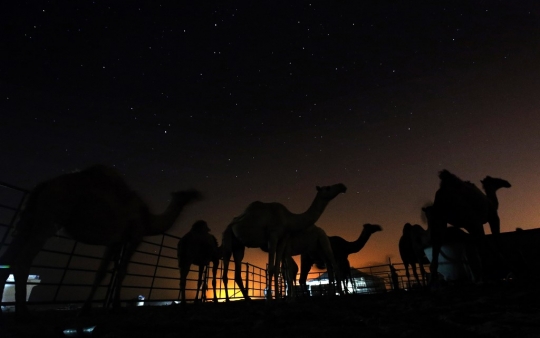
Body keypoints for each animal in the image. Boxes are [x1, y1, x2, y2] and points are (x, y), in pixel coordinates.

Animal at [0, 165, 201, 316]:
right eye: (186, 194)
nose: (198, 193)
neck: (149, 220)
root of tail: (44, 185)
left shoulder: (116, 241)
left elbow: (104, 271)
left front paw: (90, 306)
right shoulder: (134, 237)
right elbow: (120, 271)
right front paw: (114, 306)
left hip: (30, 218)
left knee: (8, 259)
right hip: (50, 216)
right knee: (24, 258)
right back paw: (23, 311)